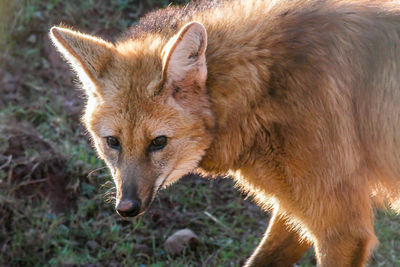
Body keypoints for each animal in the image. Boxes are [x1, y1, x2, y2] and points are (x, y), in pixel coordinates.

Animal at [49, 0, 400, 266]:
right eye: (113, 142)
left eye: (158, 142)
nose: (126, 208)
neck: (263, 88)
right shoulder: (296, 211)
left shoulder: (343, 230)